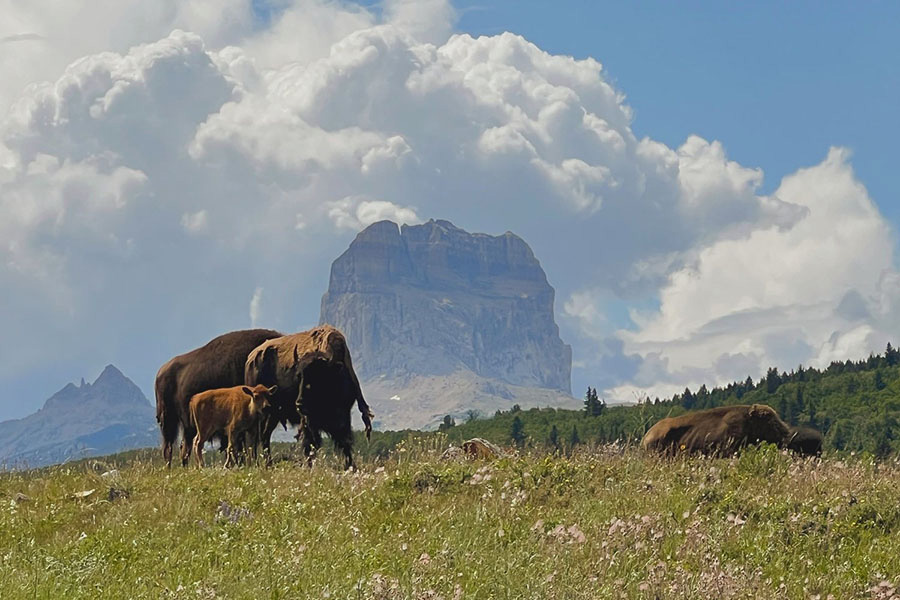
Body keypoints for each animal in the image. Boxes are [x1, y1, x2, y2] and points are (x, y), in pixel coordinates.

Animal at [243, 324, 372, 468]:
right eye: (299, 376)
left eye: (319, 376)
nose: (299, 403)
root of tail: (251, 358)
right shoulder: (309, 422)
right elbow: (310, 445)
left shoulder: (343, 417)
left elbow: (345, 443)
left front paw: (351, 467)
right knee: (255, 438)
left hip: (273, 415)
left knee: (265, 436)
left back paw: (268, 464)